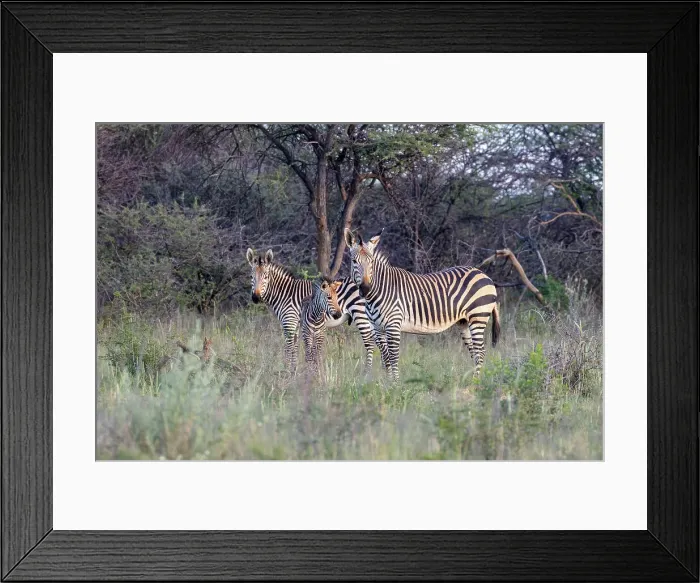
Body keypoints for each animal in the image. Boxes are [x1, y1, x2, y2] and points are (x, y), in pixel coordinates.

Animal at [246, 248, 379, 374]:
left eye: (266, 277)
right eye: (251, 277)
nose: (256, 298)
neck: (285, 294)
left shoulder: (290, 322)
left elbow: (289, 347)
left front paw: (286, 371)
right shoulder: (297, 324)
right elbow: (295, 347)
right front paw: (293, 371)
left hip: (360, 313)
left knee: (369, 342)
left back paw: (366, 373)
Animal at [343, 229, 501, 381]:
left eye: (371, 261)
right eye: (354, 261)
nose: (365, 289)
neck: (379, 291)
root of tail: (484, 275)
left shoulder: (393, 325)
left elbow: (393, 357)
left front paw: (395, 384)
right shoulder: (377, 328)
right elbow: (386, 358)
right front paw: (387, 384)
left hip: (478, 316)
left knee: (480, 351)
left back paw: (475, 382)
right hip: (464, 322)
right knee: (474, 351)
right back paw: (471, 380)